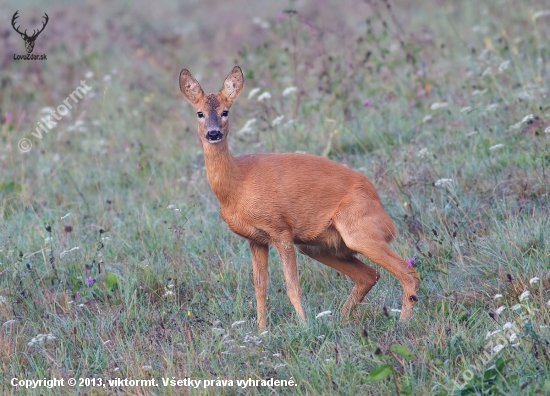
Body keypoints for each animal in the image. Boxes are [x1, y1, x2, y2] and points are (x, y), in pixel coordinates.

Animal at [179, 66, 420, 330]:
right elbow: (260, 288)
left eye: (225, 111)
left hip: (360, 231)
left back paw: (402, 322)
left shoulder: (281, 229)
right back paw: (340, 318)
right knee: (370, 274)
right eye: (199, 113)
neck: (237, 185)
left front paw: (304, 326)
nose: (213, 133)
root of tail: (387, 218)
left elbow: (292, 286)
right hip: (318, 246)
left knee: (408, 272)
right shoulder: (256, 239)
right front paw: (262, 330)